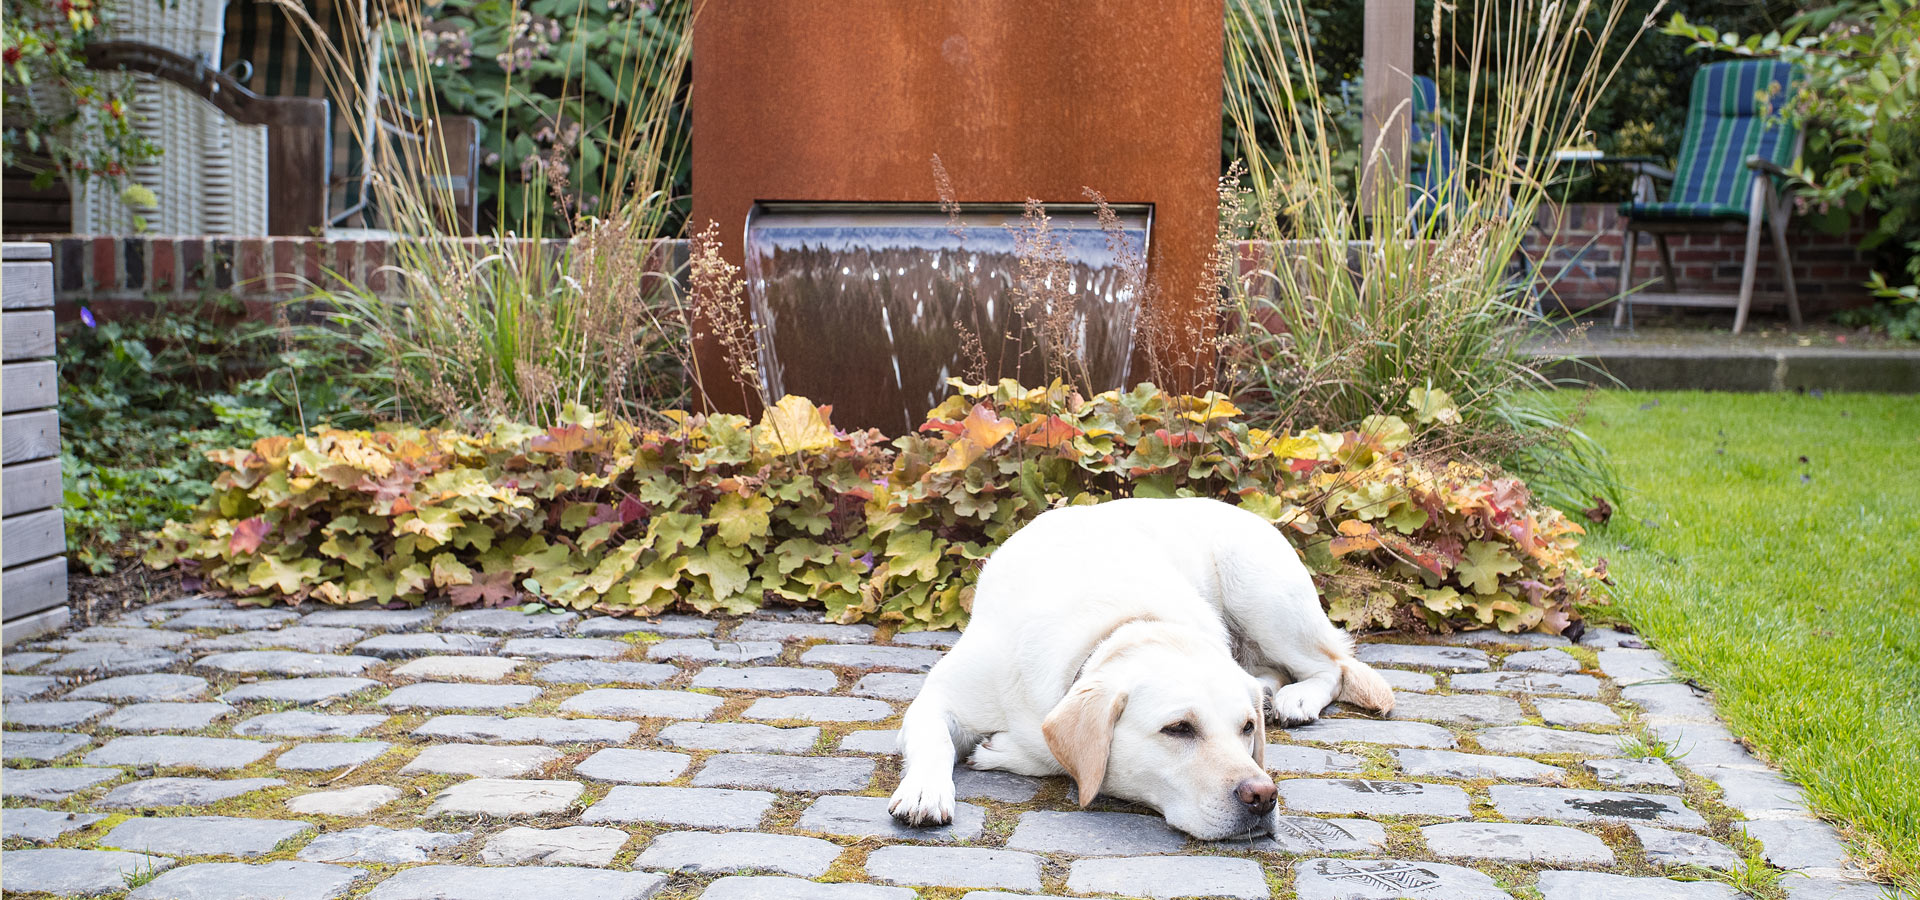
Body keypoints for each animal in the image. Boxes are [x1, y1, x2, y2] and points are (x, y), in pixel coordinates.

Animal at [883, 495, 1397, 836]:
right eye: (1179, 729)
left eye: (1246, 729)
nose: (1263, 797)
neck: (1127, 624)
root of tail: (1253, 516)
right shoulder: (938, 698)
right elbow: (934, 738)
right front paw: (926, 790)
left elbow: (1049, 751)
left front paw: (1002, 750)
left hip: (1263, 596)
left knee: (1332, 664)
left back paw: (1297, 699)